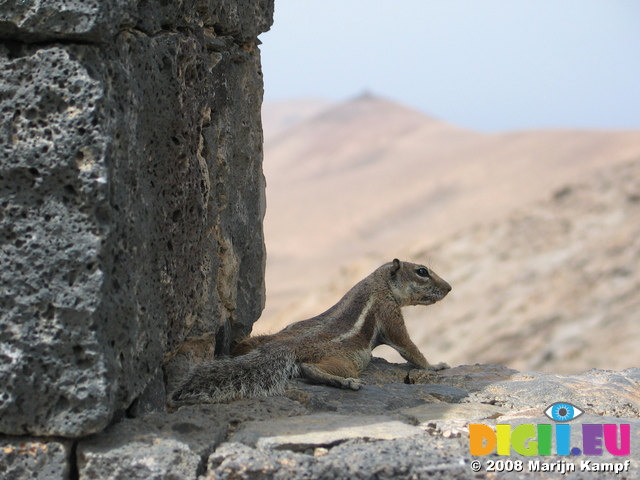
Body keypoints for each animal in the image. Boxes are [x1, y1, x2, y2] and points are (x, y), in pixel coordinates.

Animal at [168, 256, 452, 406]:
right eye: (422, 271)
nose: (449, 288)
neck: (379, 282)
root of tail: (283, 347)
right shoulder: (389, 313)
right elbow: (408, 347)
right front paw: (435, 366)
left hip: (261, 340)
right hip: (349, 359)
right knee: (310, 369)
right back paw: (344, 382)